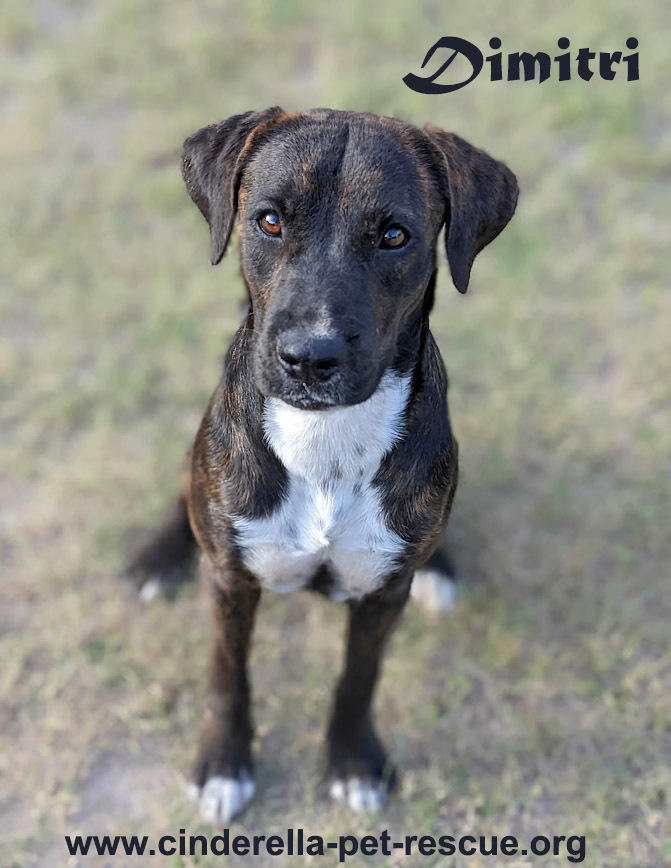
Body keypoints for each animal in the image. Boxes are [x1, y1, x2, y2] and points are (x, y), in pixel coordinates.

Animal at [131, 107, 520, 820]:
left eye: (394, 235)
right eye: (269, 220)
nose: (310, 358)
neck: (325, 440)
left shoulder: (381, 596)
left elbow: (358, 680)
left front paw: (353, 764)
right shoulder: (229, 582)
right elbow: (228, 675)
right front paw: (224, 764)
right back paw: (154, 559)